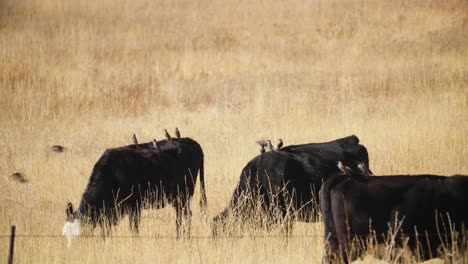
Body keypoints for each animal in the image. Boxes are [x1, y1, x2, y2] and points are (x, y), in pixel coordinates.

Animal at [64, 135, 207, 236]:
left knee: (185, 215)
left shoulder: (134, 206)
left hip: (184, 195)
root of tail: (191, 141)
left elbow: (134, 228)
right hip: (178, 198)